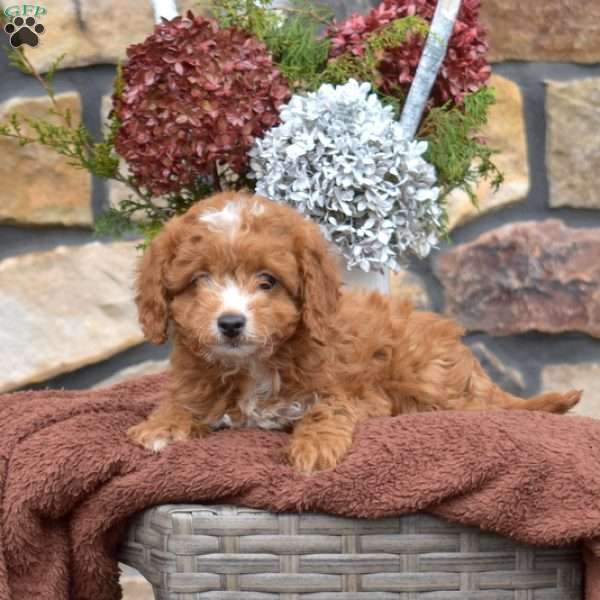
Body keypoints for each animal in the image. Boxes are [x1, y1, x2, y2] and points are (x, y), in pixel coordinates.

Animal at [127, 192, 580, 474]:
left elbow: (327, 409)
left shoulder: (356, 393)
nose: (231, 323)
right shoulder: (197, 381)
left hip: (428, 379)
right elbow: (182, 403)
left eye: (267, 281)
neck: (253, 364)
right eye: (199, 280)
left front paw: (314, 447)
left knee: (481, 407)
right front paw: (162, 426)